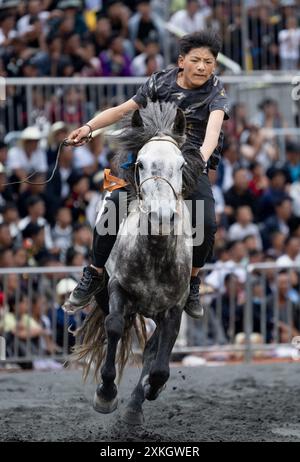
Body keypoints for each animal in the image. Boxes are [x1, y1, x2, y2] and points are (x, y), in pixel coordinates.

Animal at [74, 101, 203, 426]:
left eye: (181, 165)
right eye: (141, 163)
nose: (161, 217)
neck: (154, 253)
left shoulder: (174, 308)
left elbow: (159, 363)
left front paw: (150, 389)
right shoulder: (119, 290)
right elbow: (114, 327)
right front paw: (105, 394)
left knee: (150, 352)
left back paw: (135, 406)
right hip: (106, 293)